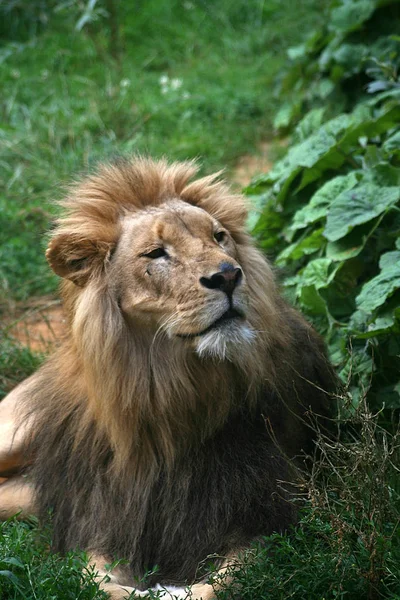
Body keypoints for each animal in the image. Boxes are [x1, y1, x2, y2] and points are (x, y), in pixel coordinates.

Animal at [0, 157, 338, 596]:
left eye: (219, 237)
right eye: (157, 254)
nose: (228, 276)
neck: (168, 400)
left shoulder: (270, 518)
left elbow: (220, 584)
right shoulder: (103, 525)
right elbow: (99, 583)